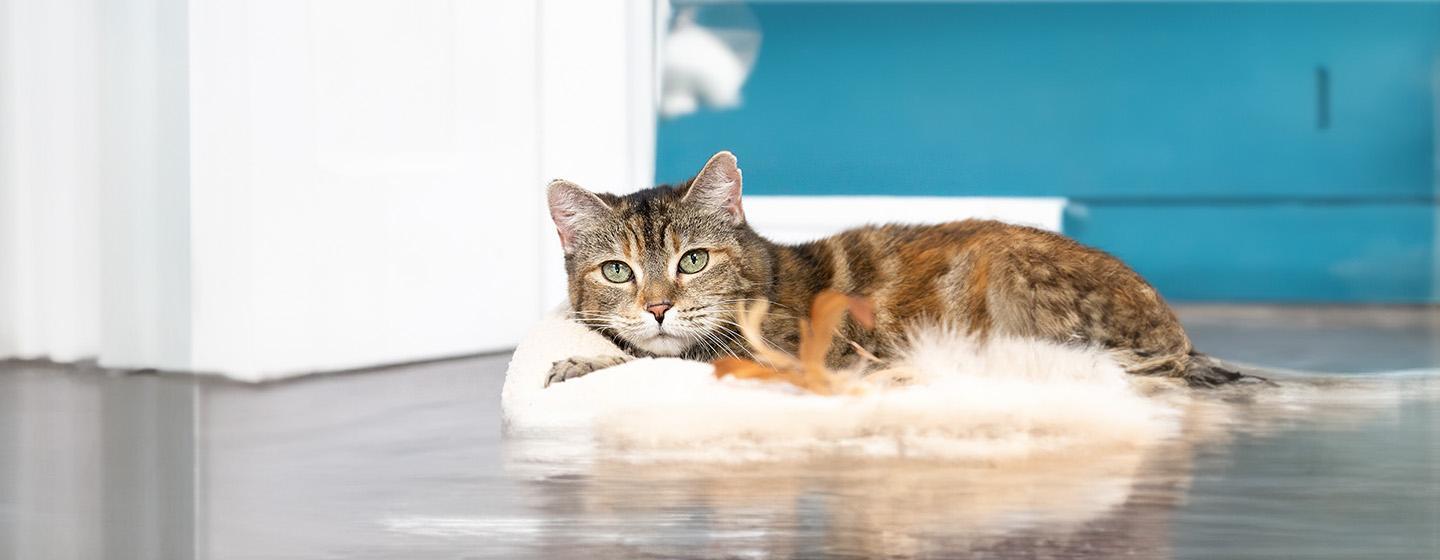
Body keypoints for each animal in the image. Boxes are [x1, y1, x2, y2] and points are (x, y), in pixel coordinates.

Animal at [544, 151, 1252, 388]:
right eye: (617, 272)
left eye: (692, 261)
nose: (658, 307)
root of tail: (1176, 336)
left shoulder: (781, 358)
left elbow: (658, 361)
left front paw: (582, 362)